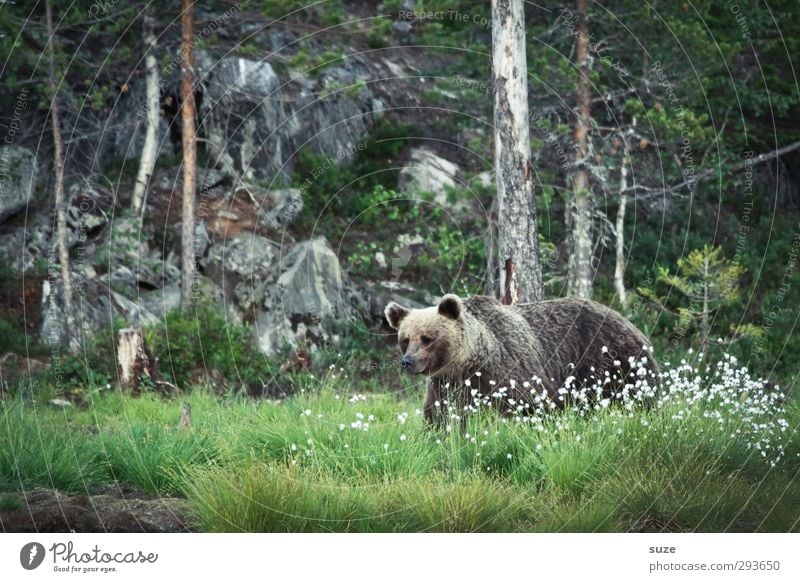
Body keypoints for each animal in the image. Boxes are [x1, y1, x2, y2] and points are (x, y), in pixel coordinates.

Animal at [386, 296, 656, 424]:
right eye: (405, 339)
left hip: (611, 361)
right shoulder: (446, 383)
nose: (407, 362)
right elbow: (439, 414)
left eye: (427, 338)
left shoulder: (511, 369)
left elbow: (530, 403)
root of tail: (630, 323)